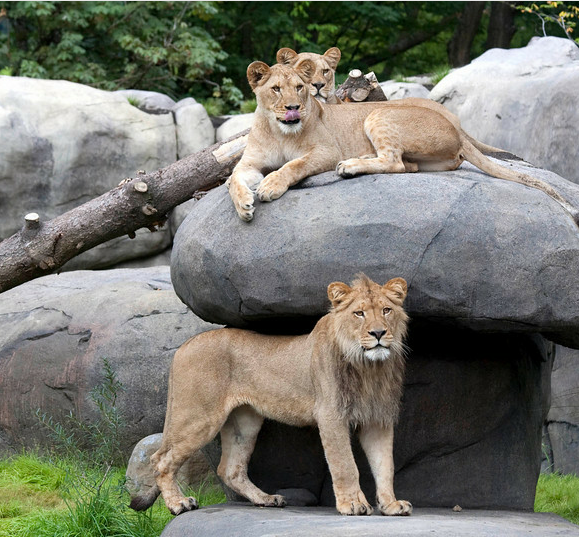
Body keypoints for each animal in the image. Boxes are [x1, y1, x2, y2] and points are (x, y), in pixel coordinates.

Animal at [131, 274, 412, 516]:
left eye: (386, 310)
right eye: (359, 313)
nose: (378, 333)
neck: (370, 368)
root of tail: (183, 346)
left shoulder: (378, 419)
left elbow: (385, 465)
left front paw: (391, 505)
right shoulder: (331, 415)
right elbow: (345, 465)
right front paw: (352, 504)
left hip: (244, 423)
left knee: (230, 469)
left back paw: (266, 499)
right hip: (198, 417)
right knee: (160, 460)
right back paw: (178, 503)